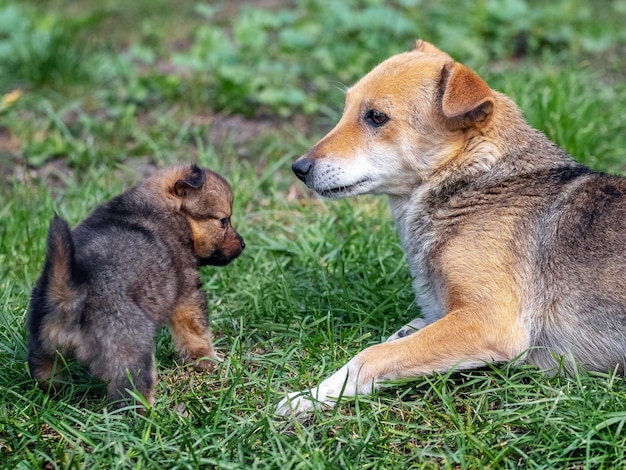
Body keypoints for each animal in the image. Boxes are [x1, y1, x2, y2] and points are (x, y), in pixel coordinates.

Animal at [28, 164, 244, 408]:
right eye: (223, 221)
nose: (243, 244)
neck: (166, 209)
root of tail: (70, 295)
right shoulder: (188, 295)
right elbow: (196, 332)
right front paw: (207, 359)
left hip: (41, 343)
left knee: (44, 374)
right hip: (131, 350)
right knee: (132, 392)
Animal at [276, 40, 624, 414]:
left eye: (376, 117)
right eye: (346, 108)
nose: (299, 168)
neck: (474, 182)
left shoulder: (488, 321)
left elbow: (370, 356)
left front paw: (311, 395)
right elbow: (405, 333)